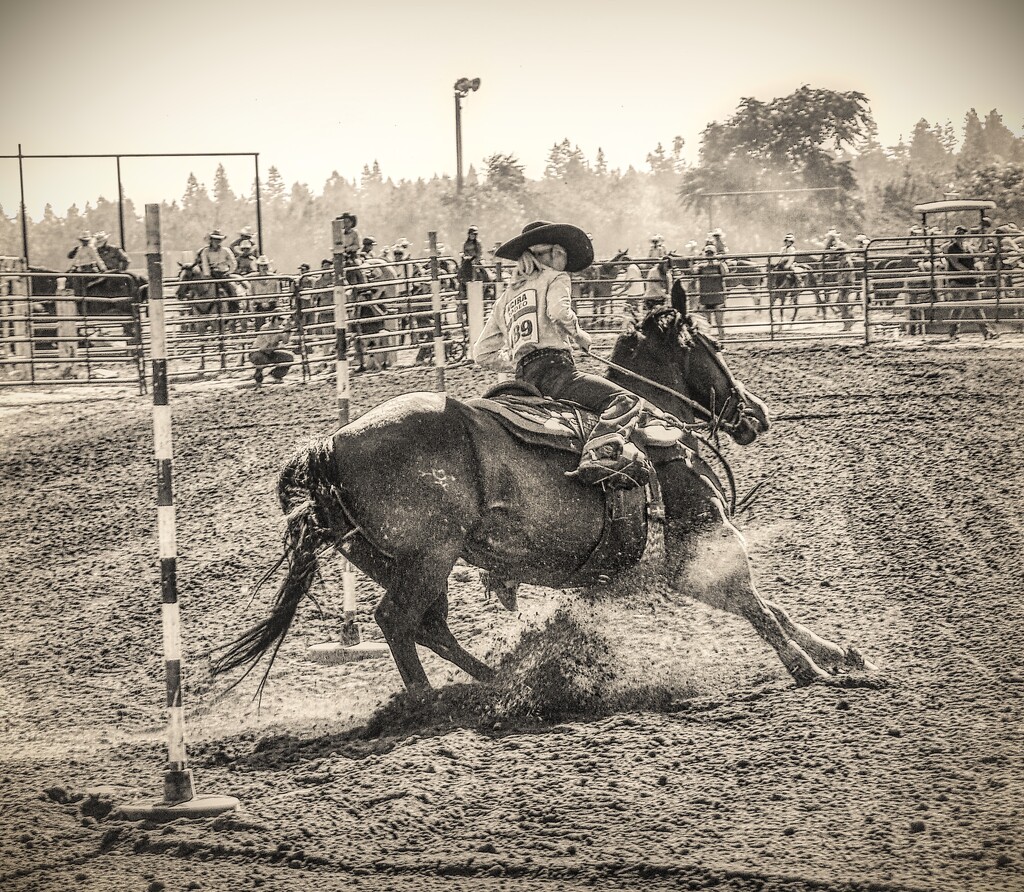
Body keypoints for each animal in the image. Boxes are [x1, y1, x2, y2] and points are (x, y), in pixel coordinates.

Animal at [214, 309, 872, 696]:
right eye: (710, 343)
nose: (755, 413)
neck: (661, 436)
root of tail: (331, 445)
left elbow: (772, 607)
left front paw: (841, 652)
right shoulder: (698, 554)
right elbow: (761, 607)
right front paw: (811, 667)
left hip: (395, 561)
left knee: (429, 626)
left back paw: (497, 680)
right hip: (429, 556)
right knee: (398, 622)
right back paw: (431, 701)